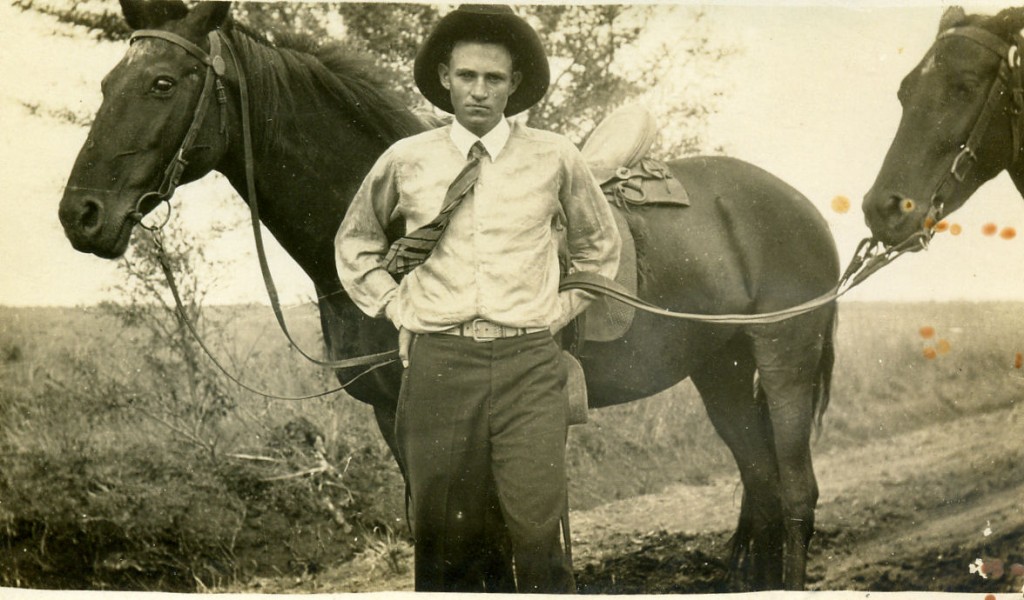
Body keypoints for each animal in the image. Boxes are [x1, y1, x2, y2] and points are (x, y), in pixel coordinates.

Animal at [58, 1, 839, 589]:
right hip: (722, 369)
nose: (81, 216)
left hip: (785, 357)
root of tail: (798, 204)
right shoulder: (398, 417)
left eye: (162, 83)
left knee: (796, 491)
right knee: (762, 485)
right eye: (104, 85)